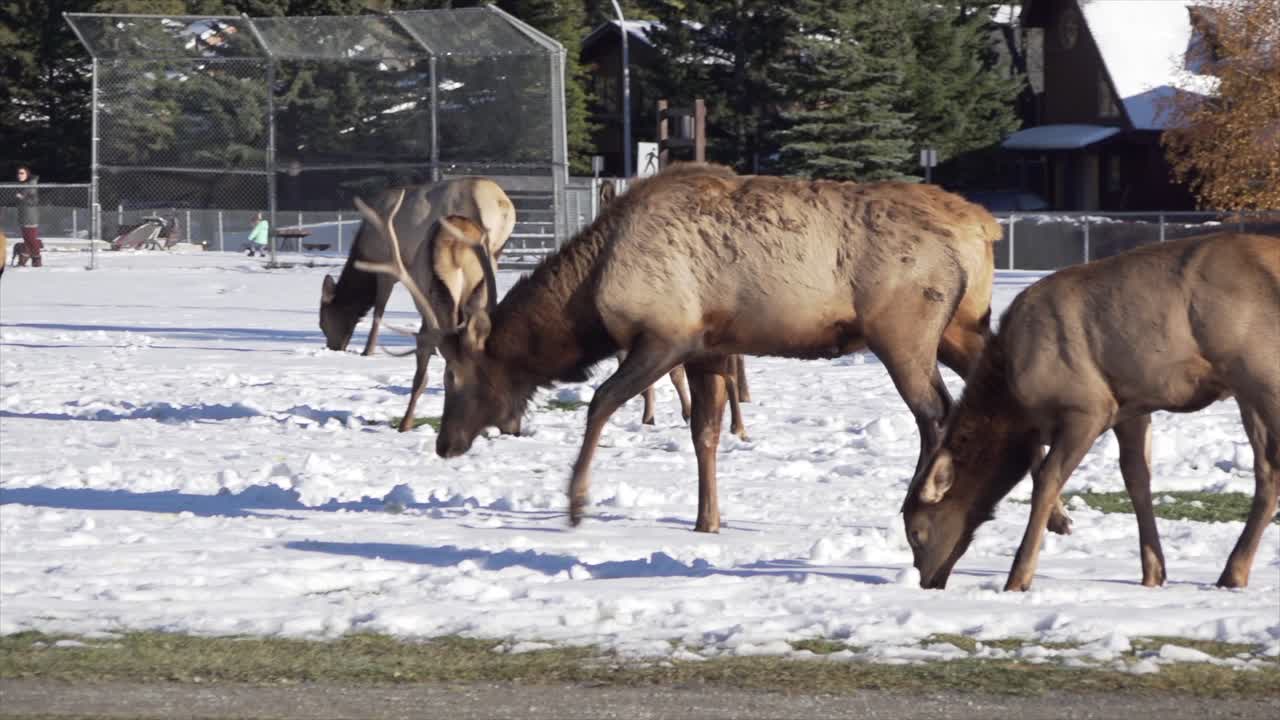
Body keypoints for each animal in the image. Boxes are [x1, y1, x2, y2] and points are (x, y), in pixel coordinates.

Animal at [319, 177, 515, 356]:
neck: (365, 252)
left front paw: (368, 351)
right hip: (495, 251)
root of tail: (502, 204)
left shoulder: (388, 267)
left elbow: (380, 308)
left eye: (323, 322)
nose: (333, 348)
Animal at [355, 162, 1073, 534]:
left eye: (458, 376)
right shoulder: (706, 347)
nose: (444, 443)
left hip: (904, 330)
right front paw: (708, 520)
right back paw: (1056, 517)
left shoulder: (666, 334)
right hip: (962, 325)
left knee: (935, 414)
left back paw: (919, 504)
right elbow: (703, 433)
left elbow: (600, 405)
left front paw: (577, 502)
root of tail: (983, 230)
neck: (591, 295)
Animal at [903, 233, 1280, 592]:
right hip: (1247, 389)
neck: (1015, 405)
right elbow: (1137, 479)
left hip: (1260, 373)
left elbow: (1047, 480)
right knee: (1267, 471)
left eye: (917, 533)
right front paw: (1153, 573)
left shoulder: (1088, 407)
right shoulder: (1132, 405)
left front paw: (1018, 579)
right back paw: (1233, 573)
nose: (927, 581)